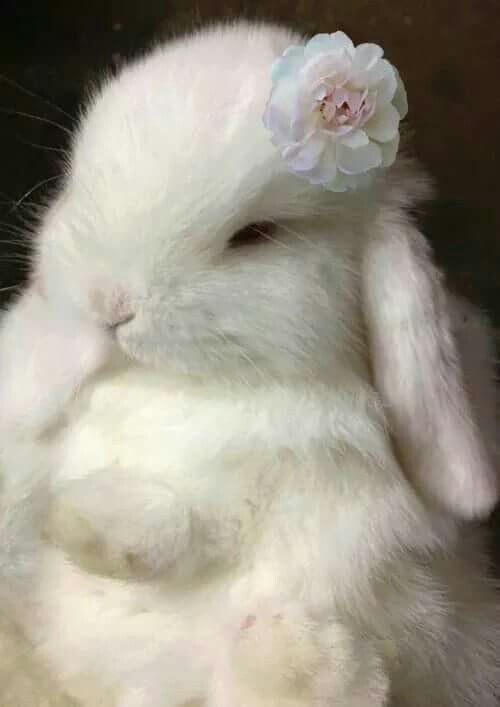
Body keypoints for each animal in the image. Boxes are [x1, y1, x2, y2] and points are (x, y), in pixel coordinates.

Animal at [0, 20, 499, 707]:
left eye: (254, 236)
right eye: (78, 183)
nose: (111, 304)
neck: (181, 390)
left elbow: (201, 530)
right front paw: (73, 521)